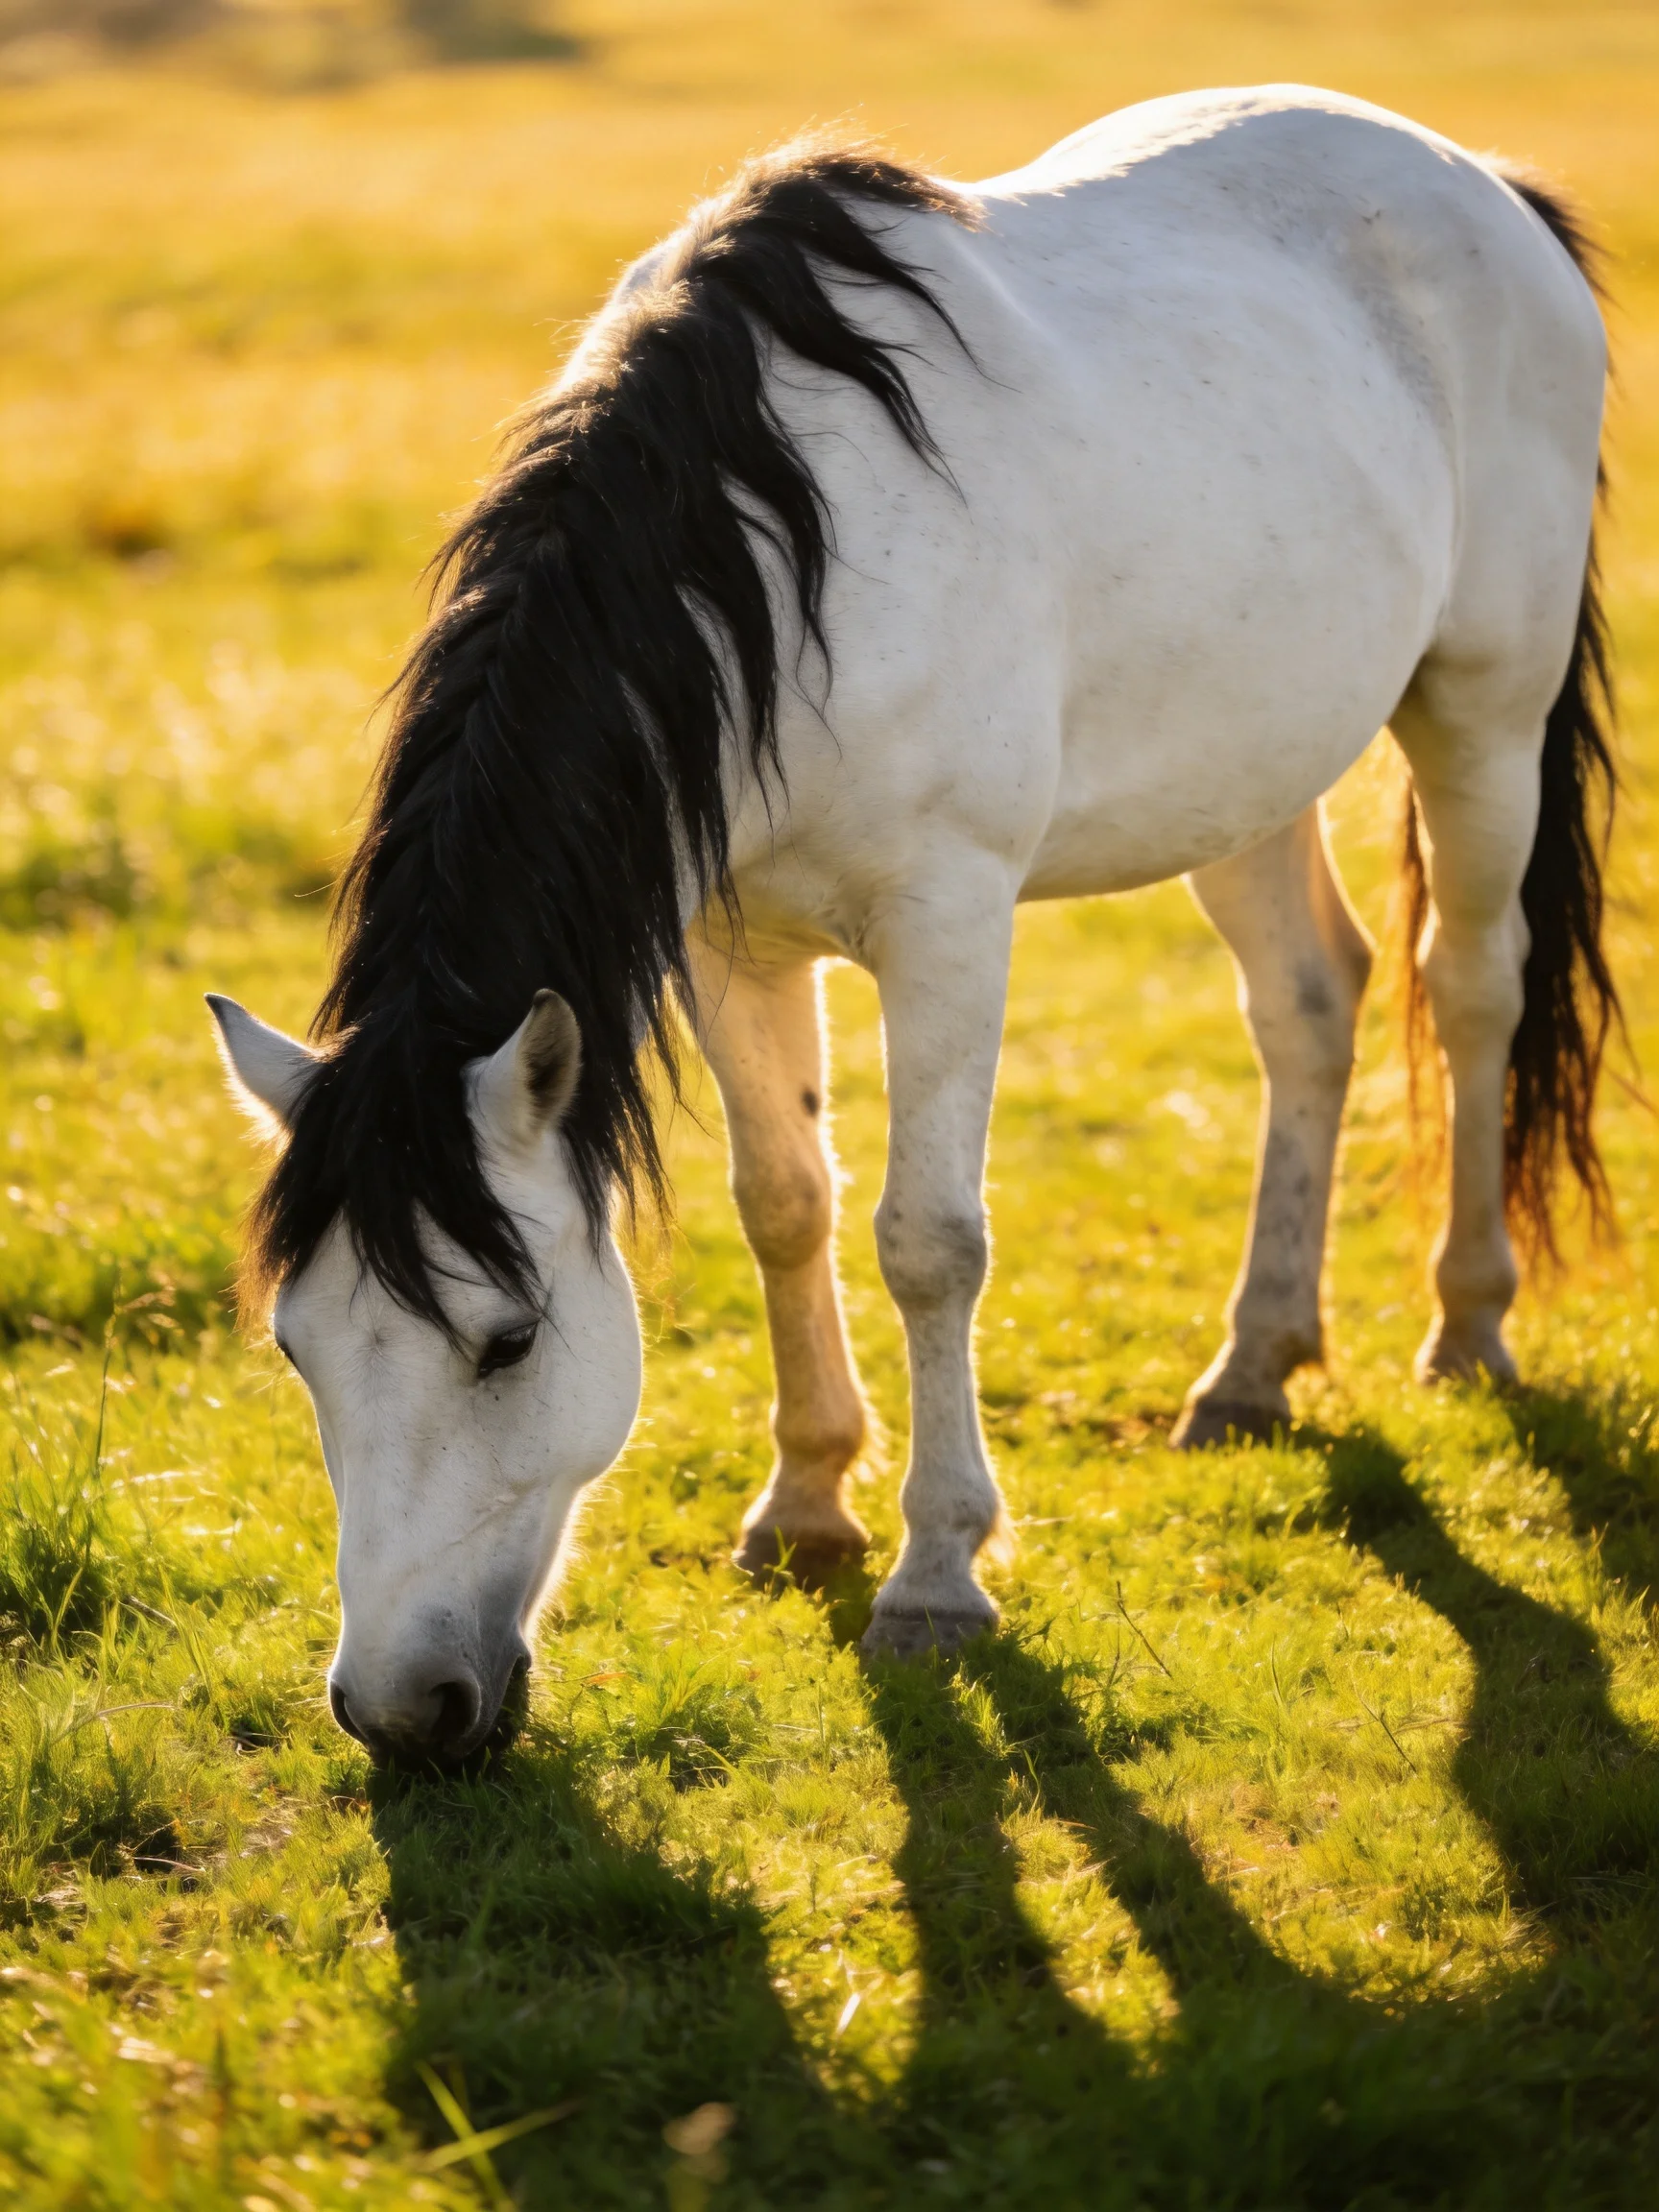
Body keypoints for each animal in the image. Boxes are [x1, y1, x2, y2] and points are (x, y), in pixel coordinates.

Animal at [208, 84, 1618, 1767]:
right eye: (297, 1346)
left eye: (506, 1343)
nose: (399, 1711)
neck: (774, 553)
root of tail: (1485, 183)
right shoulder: (729, 940)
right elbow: (783, 1201)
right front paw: (806, 1506)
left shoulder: (951, 919)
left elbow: (929, 1241)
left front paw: (937, 1576)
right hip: (1246, 772)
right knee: (1310, 1005)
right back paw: (1253, 1367)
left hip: (1485, 711)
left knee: (1470, 991)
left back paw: (1469, 1326)